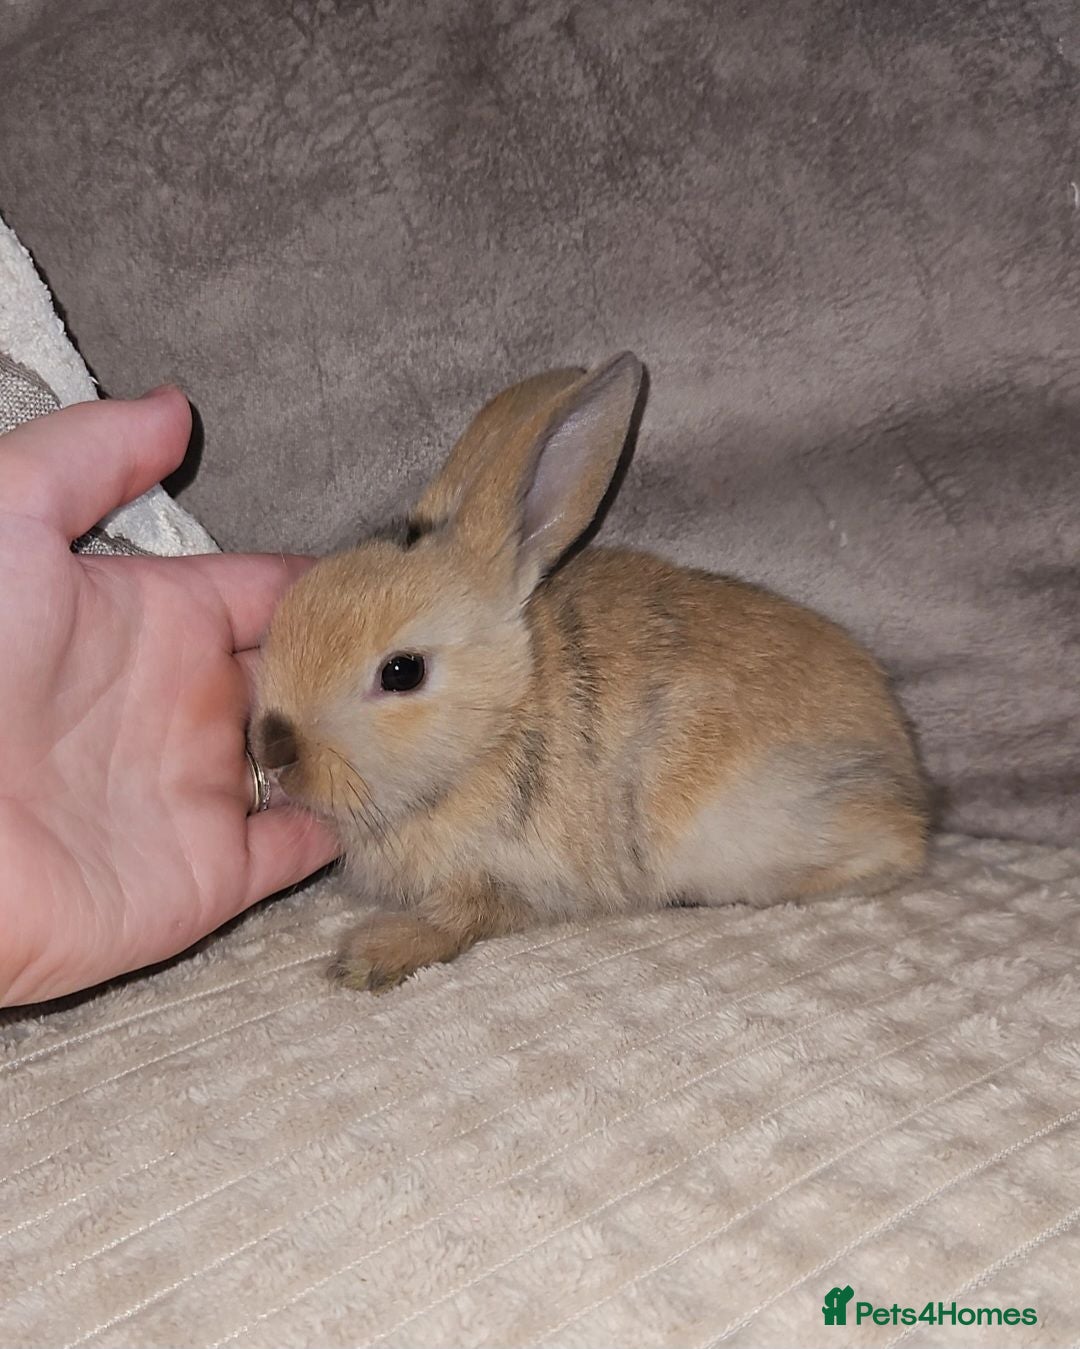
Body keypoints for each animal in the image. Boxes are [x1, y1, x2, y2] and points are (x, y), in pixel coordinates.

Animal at [253, 353, 928, 991]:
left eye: (401, 672)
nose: (273, 747)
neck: (497, 728)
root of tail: (908, 778)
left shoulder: (509, 877)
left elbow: (458, 918)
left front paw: (368, 960)